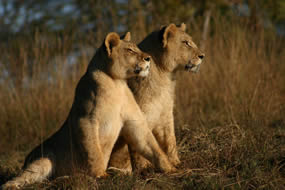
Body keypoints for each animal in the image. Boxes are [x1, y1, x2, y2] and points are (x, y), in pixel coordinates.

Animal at [2, 31, 175, 189]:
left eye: (137, 48)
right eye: (130, 50)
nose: (149, 58)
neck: (116, 83)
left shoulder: (135, 122)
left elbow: (150, 145)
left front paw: (171, 168)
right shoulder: (86, 120)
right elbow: (93, 152)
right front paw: (100, 175)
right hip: (44, 160)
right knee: (25, 176)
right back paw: (11, 185)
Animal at [108, 23, 204, 171]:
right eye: (185, 42)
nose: (202, 56)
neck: (165, 77)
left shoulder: (165, 114)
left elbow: (170, 139)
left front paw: (176, 162)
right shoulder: (138, 115)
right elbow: (139, 143)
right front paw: (144, 167)